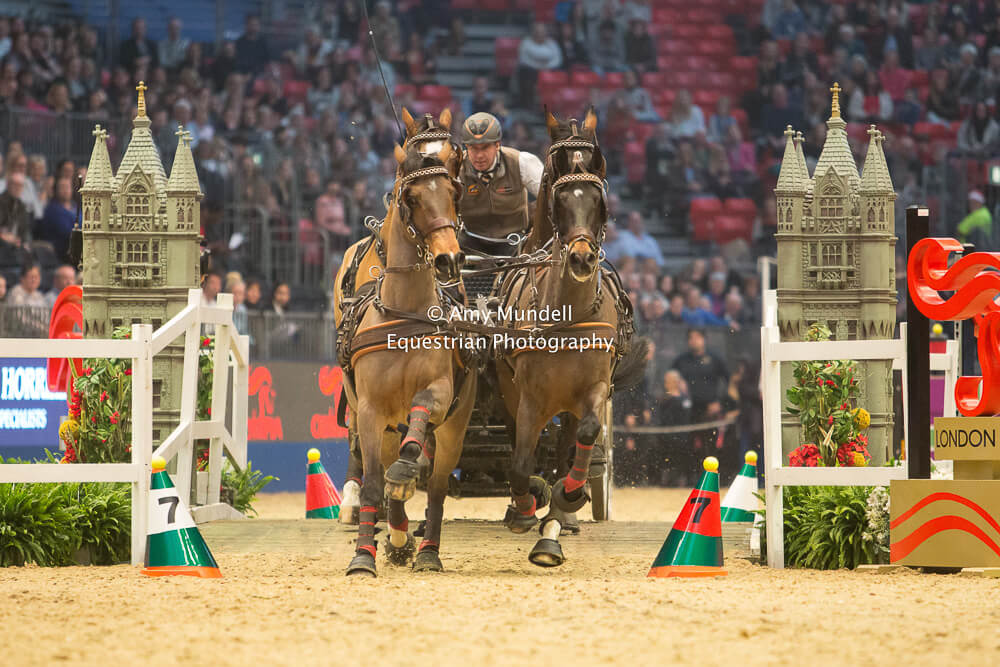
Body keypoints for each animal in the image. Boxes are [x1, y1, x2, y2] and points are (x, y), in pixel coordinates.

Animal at [338, 138, 477, 576]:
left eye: (453, 193)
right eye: (411, 197)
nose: (449, 259)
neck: (404, 315)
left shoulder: (440, 391)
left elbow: (420, 415)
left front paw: (407, 467)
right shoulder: (369, 410)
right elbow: (372, 485)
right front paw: (363, 556)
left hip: (456, 426)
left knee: (436, 487)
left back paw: (428, 550)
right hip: (380, 426)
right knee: (383, 477)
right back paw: (398, 537)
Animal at [496, 109, 649, 566]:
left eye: (598, 201)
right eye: (560, 196)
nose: (581, 258)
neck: (567, 311)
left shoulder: (594, 387)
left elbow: (585, 435)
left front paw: (568, 499)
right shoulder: (527, 397)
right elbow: (520, 461)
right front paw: (526, 504)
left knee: (567, 445)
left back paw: (562, 511)